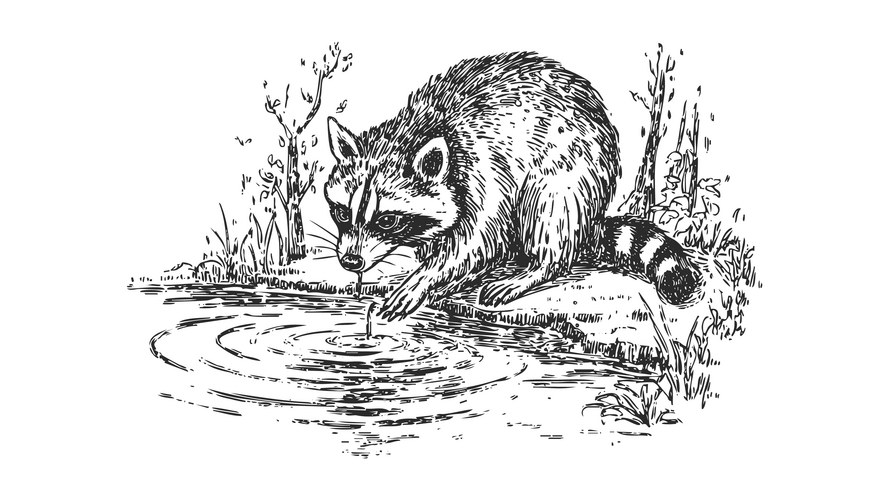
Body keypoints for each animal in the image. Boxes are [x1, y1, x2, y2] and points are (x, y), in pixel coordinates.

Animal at [324, 52, 702, 319]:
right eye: (341, 213)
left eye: (387, 220)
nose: (351, 262)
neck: (415, 131)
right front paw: (435, 270)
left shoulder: (484, 170)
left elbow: (475, 239)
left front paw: (425, 278)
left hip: (569, 171)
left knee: (548, 211)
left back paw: (537, 267)